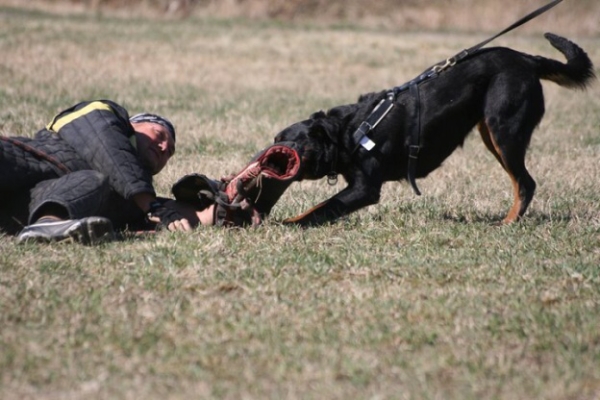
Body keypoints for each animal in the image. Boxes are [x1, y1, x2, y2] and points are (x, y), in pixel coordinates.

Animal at [274, 32, 592, 227]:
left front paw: (290, 223)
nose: (267, 155)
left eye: (290, 142)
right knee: (521, 181)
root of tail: (528, 59)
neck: (349, 133)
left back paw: (507, 222)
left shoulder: (365, 188)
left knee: (526, 183)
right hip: (490, 133)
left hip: (504, 130)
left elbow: (322, 208)